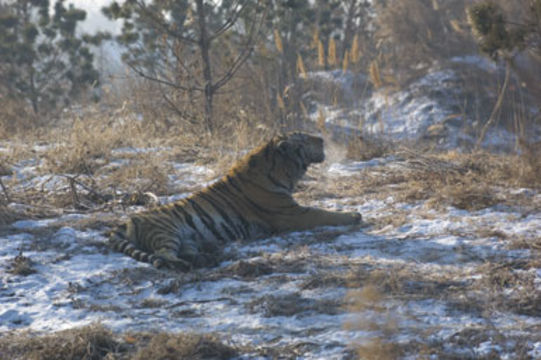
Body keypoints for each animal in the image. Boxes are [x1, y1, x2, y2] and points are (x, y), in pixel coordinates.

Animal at [108, 132, 362, 270]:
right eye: (304, 138)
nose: (321, 139)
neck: (281, 169)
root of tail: (125, 221)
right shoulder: (291, 214)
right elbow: (323, 213)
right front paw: (354, 215)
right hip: (166, 231)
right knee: (162, 255)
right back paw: (183, 264)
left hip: (187, 237)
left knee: (186, 251)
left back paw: (205, 259)